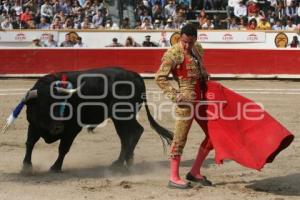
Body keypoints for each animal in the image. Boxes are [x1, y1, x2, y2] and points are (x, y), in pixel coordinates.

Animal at [14, 68, 173, 171]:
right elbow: (30, 143)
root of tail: (136, 76)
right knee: (125, 137)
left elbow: (63, 148)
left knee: (136, 131)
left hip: (123, 115)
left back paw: (124, 160)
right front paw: (26, 166)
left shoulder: (72, 129)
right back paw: (122, 161)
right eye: (42, 106)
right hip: (118, 119)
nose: (58, 127)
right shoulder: (33, 125)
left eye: (60, 105)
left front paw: (55, 167)